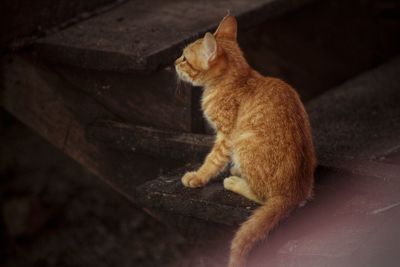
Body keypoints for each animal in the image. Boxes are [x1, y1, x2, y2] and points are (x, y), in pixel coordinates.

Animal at [175, 15, 316, 267]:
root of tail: (294, 191)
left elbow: (212, 161)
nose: (173, 62)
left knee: (262, 197)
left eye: (184, 58)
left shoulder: (226, 137)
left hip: (243, 143)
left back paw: (235, 181)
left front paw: (198, 177)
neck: (238, 79)